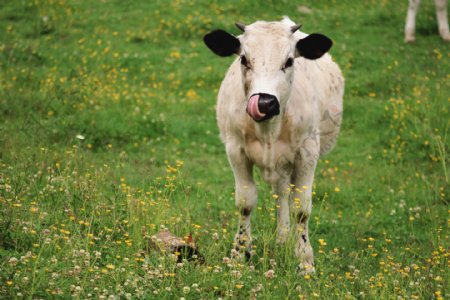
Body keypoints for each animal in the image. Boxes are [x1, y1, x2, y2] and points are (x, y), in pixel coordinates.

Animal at [204, 17, 344, 274]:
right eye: (243, 59)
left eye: (289, 61)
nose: (265, 102)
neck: (268, 129)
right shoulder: (235, 150)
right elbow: (245, 202)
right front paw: (240, 253)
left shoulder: (308, 152)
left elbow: (301, 208)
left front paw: (305, 260)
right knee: (281, 194)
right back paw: (281, 238)